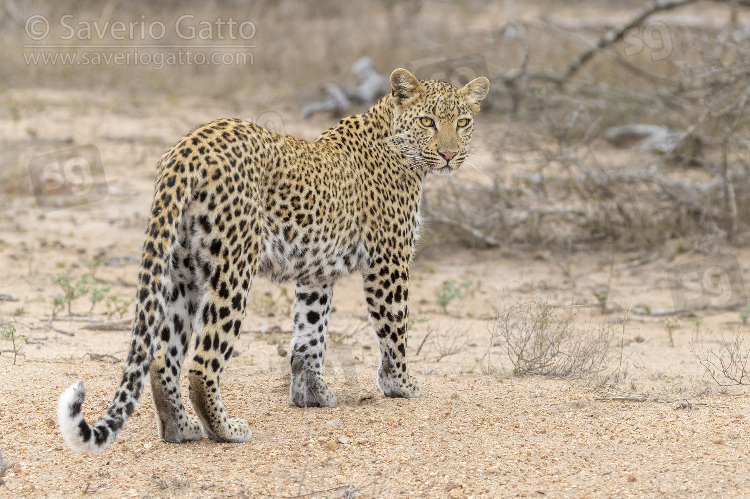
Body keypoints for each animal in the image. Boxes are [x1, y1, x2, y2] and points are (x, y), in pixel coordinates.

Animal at [60, 67, 494, 454]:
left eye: (463, 122)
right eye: (427, 121)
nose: (450, 154)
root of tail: (188, 147)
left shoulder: (316, 273)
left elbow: (309, 333)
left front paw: (311, 394)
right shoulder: (389, 261)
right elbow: (394, 326)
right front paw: (400, 384)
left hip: (183, 271)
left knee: (162, 356)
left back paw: (179, 427)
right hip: (233, 267)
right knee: (202, 362)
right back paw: (226, 430)